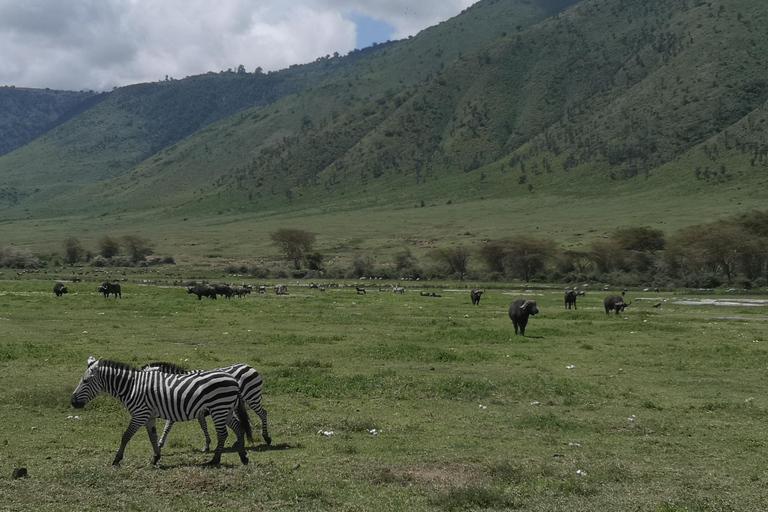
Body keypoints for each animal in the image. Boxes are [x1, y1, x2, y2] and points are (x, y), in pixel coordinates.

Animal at [71, 358, 252, 466]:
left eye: (85, 381)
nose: (72, 402)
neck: (131, 386)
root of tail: (234, 380)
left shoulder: (139, 414)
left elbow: (126, 435)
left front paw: (117, 459)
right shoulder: (148, 416)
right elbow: (152, 436)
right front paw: (156, 457)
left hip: (218, 408)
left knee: (223, 434)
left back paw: (215, 460)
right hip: (225, 410)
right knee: (238, 428)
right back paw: (243, 456)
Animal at [142, 360, 272, 452]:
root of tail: (249, 366)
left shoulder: (196, 410)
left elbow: (203, 426)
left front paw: (207, 445)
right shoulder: (176, 408)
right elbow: (168, 426)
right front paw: (160, 443)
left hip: (252, 397)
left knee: (263, 413)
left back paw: (266, 437)